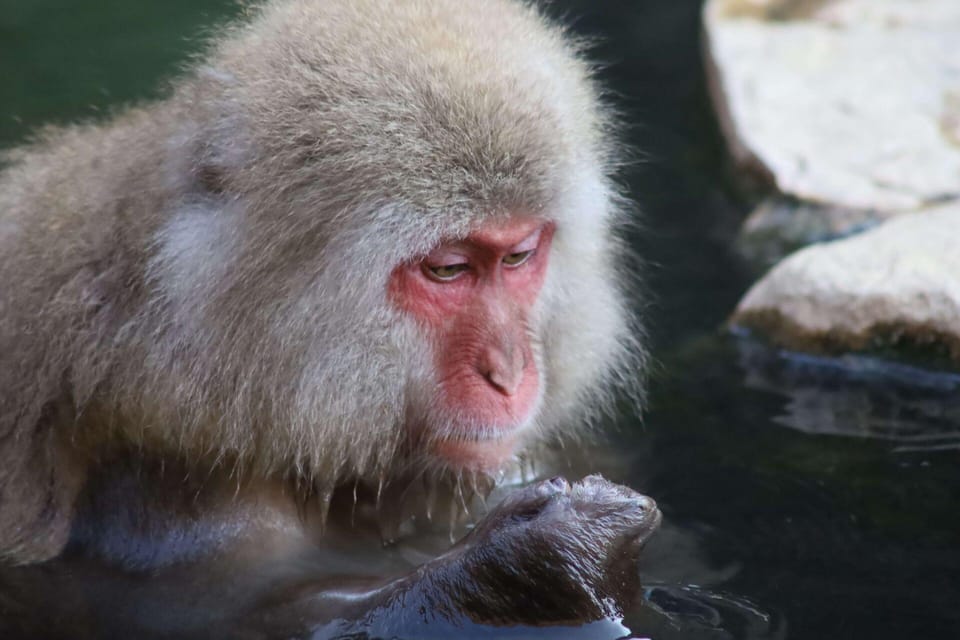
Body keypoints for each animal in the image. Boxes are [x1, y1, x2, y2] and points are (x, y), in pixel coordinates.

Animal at [0, 0, 647, 634]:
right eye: (448, 269)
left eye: (517, 257)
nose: (509, 374)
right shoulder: (161, 459)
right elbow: (246, 609)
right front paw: (550, 552)